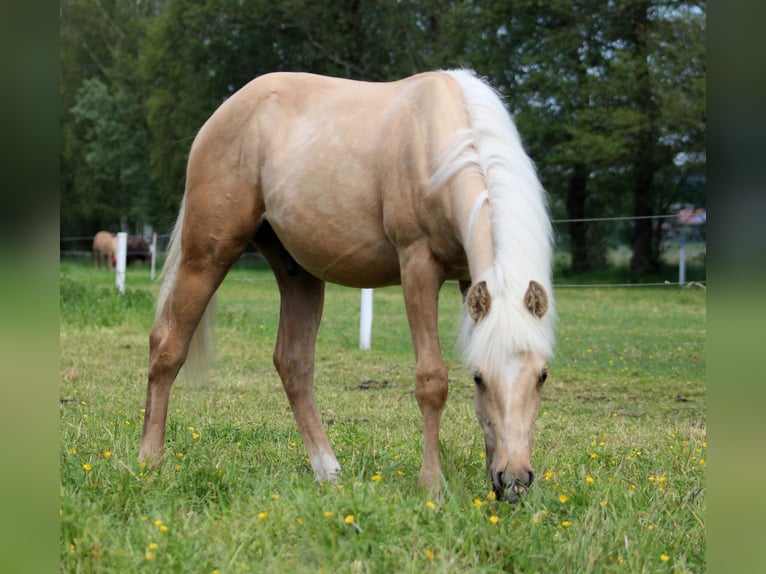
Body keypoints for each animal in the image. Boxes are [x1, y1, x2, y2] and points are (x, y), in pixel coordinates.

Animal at [140, 70, 560, 504]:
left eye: (542, 375)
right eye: (479, 377)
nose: (514, 480)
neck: (440, 140)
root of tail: (222, 115)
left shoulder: (468, 276)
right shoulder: (418, 265)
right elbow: (432, 380)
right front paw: (432, 486)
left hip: (298, 273)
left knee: (293, 363)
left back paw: (327, 470)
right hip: (206, 256)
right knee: (167, 346)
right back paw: (149, 460)